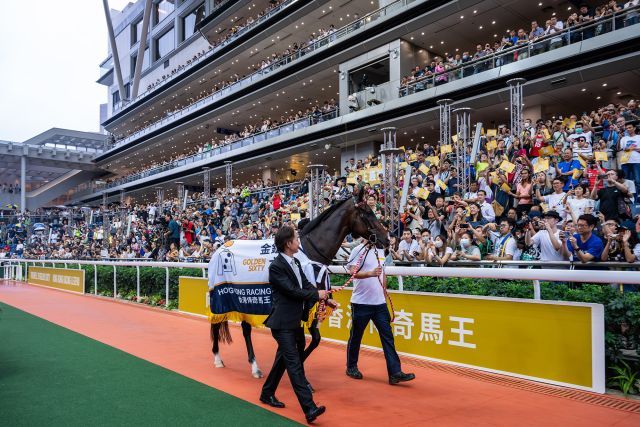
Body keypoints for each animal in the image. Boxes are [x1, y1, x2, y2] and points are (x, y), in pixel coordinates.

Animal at [211, 192, 390, 380]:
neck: (310, 254)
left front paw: (294, 364)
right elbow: (300, 340)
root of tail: (221, 248)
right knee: (216, 323)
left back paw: (254, 366)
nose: (386, 240)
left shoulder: (315, 302)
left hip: (245, 301)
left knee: (245, 328)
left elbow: (314, 339)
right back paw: (219, 359)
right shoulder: (302, 302)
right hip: (222, 295)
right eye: (367, 213)